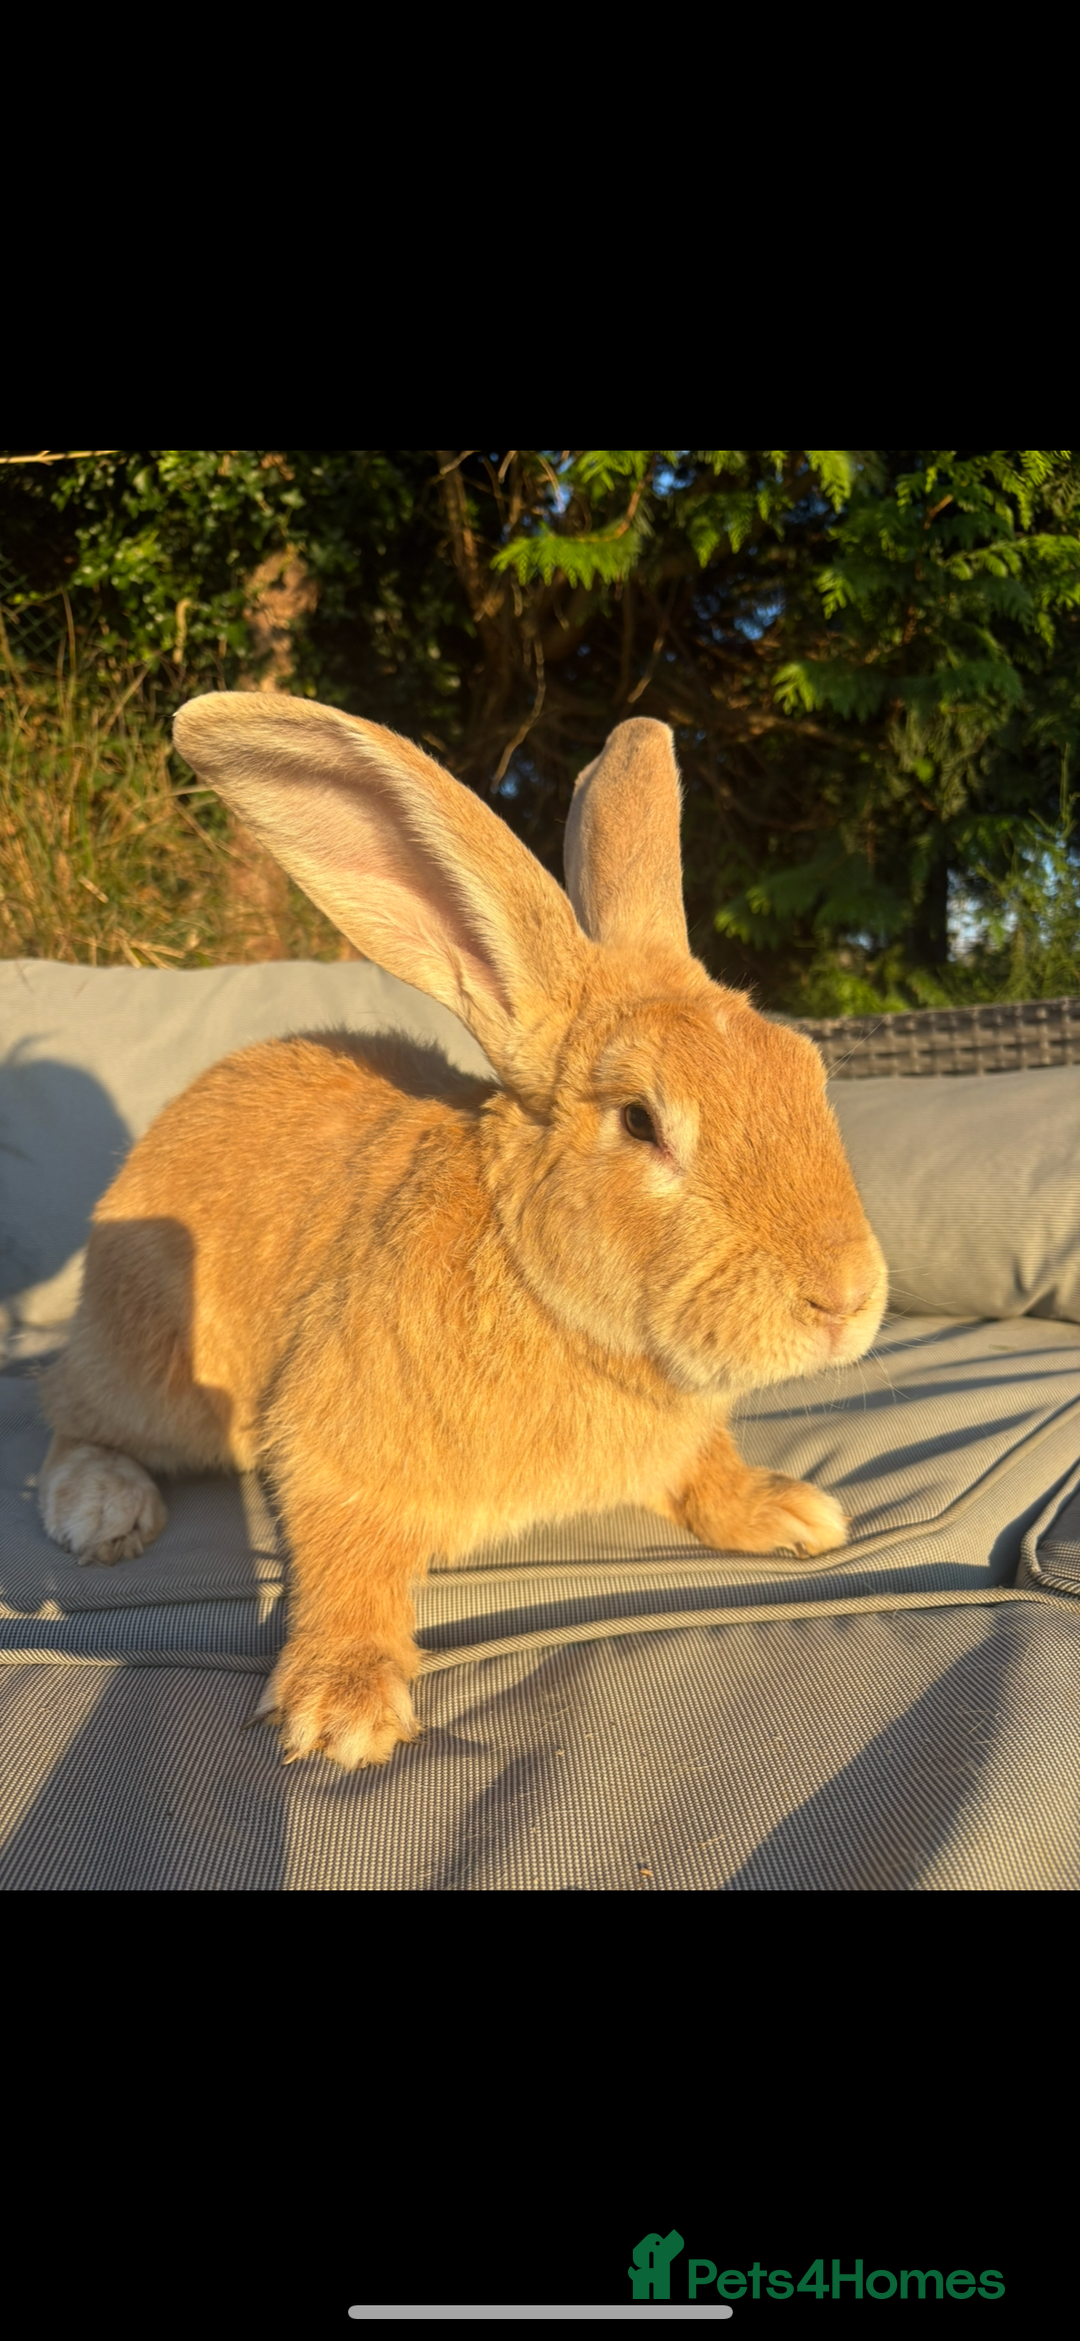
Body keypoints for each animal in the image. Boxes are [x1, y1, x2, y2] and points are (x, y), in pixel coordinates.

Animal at [38, 695, 888, 1768]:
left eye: (806, 1070)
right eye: (641, 1122)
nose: (845, 1298)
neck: (543, 1288)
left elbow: (705, 1470)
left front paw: (788, 1509)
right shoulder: (335, 1440)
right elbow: (344, 1546)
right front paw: (342, 1707)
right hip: (148, 1369)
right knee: (66, 1416)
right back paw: (107, 1506)